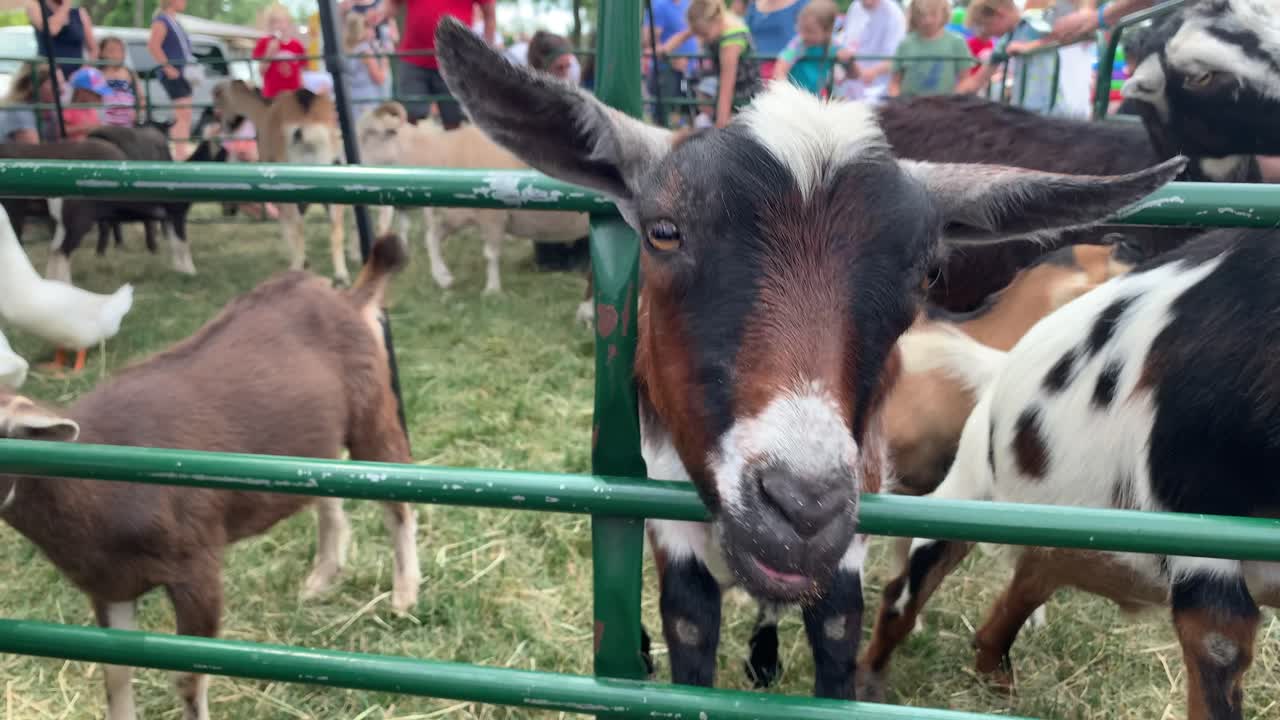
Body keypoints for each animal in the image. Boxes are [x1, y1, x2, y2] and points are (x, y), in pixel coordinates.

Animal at [0, 233, 421, 720]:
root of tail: (348, 298)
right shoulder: (108, 583)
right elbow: (115, 674)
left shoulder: (195, 567)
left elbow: (188, 676)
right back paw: (321, 579)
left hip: (372, 411)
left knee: (397, 498)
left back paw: (405, 596)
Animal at [212, 80, 352, 285]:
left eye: (218, 104)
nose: (225, 128)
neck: (263, 111)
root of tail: (309, 125)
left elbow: (286, 223)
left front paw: (302, 263)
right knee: (336, 226)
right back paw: (341, 276)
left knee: (299, 226)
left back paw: (296, 267)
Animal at [357, 101, 591, 297]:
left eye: (371, 132)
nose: (354, 166)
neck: (436, 155)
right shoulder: (458, 215)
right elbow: (432, 239)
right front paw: (443, 278)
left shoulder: (493, 216)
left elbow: (490, 254)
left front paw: (492, 291)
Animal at [433, 17, 1184, 699]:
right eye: (664, 231)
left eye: (927, 271)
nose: (801, 507)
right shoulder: (672, 526)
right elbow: (690, 631)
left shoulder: (854, 524)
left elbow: (837, 637)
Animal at [860, 228, 1280, 719]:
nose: (1124, 241)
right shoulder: (1197, 533)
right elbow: (1219, 647)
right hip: (964, 493)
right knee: (906, 590)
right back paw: (865, 688)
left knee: (1020, 590)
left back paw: (1002, 690)